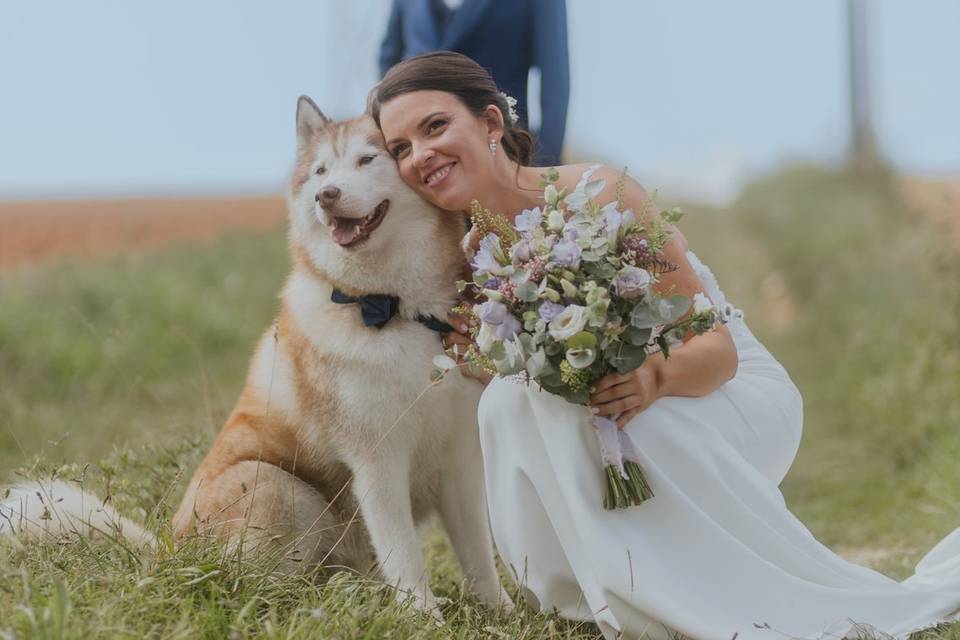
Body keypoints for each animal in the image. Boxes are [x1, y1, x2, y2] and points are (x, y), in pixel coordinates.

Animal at [1, 96, 510, 620]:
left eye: (369, 160)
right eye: (320, 170)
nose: (326, 195)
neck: (395, 309)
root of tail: (166, 553)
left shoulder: (459, 461)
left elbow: (480, 556)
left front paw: (502, 613)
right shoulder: (376, 459)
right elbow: (404, 555)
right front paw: (423, 616)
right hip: (276, 486)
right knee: (253, 585)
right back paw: (325, 600)